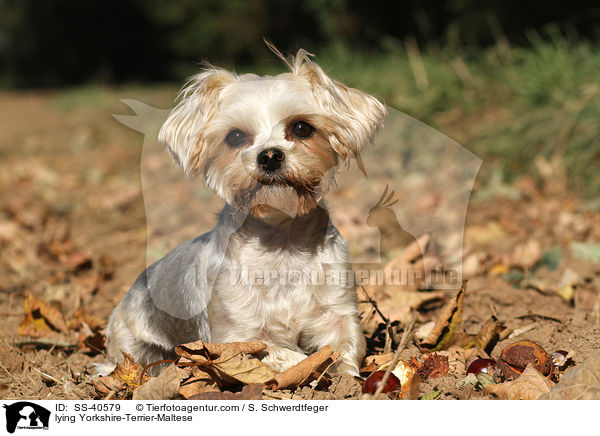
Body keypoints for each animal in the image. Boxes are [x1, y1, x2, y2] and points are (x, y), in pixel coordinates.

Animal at [101, 46, 386, 374]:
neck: (281, 244)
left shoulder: (338, 314)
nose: (270, 155)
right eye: (235, 136)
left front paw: (345, 378)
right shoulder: (235, 336)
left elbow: (344, 350)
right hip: (134, 346)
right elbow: (285, 353)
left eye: (302, 128)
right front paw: (307, 365)